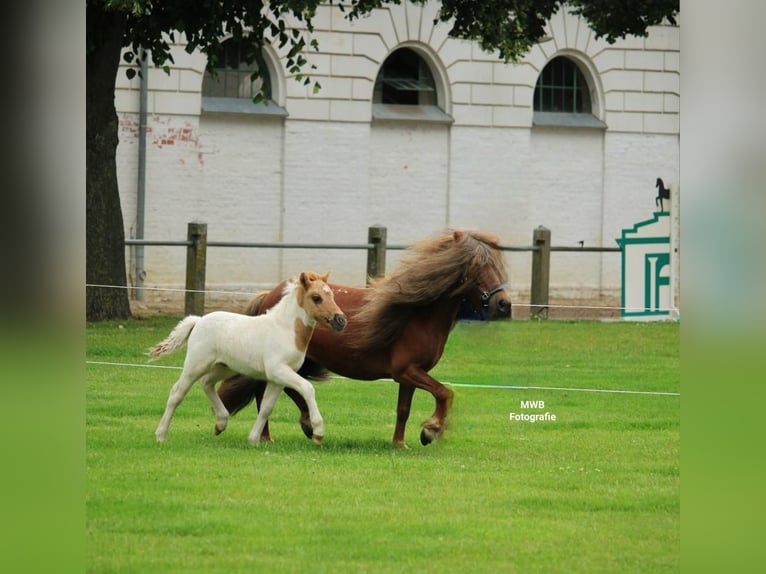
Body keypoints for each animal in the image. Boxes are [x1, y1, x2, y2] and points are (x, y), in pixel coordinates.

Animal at [219, 231, 512, 450]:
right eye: (476, 267)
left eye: (497, 266)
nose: (503, 304)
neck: (417, 315)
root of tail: (269, 294)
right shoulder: (407, 370)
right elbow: (445, 392)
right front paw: (430, 430)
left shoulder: (409, 375)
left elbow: (404, 408)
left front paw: (400, 443)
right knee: (267, 393)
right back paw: (272, 435)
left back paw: (304, 425)